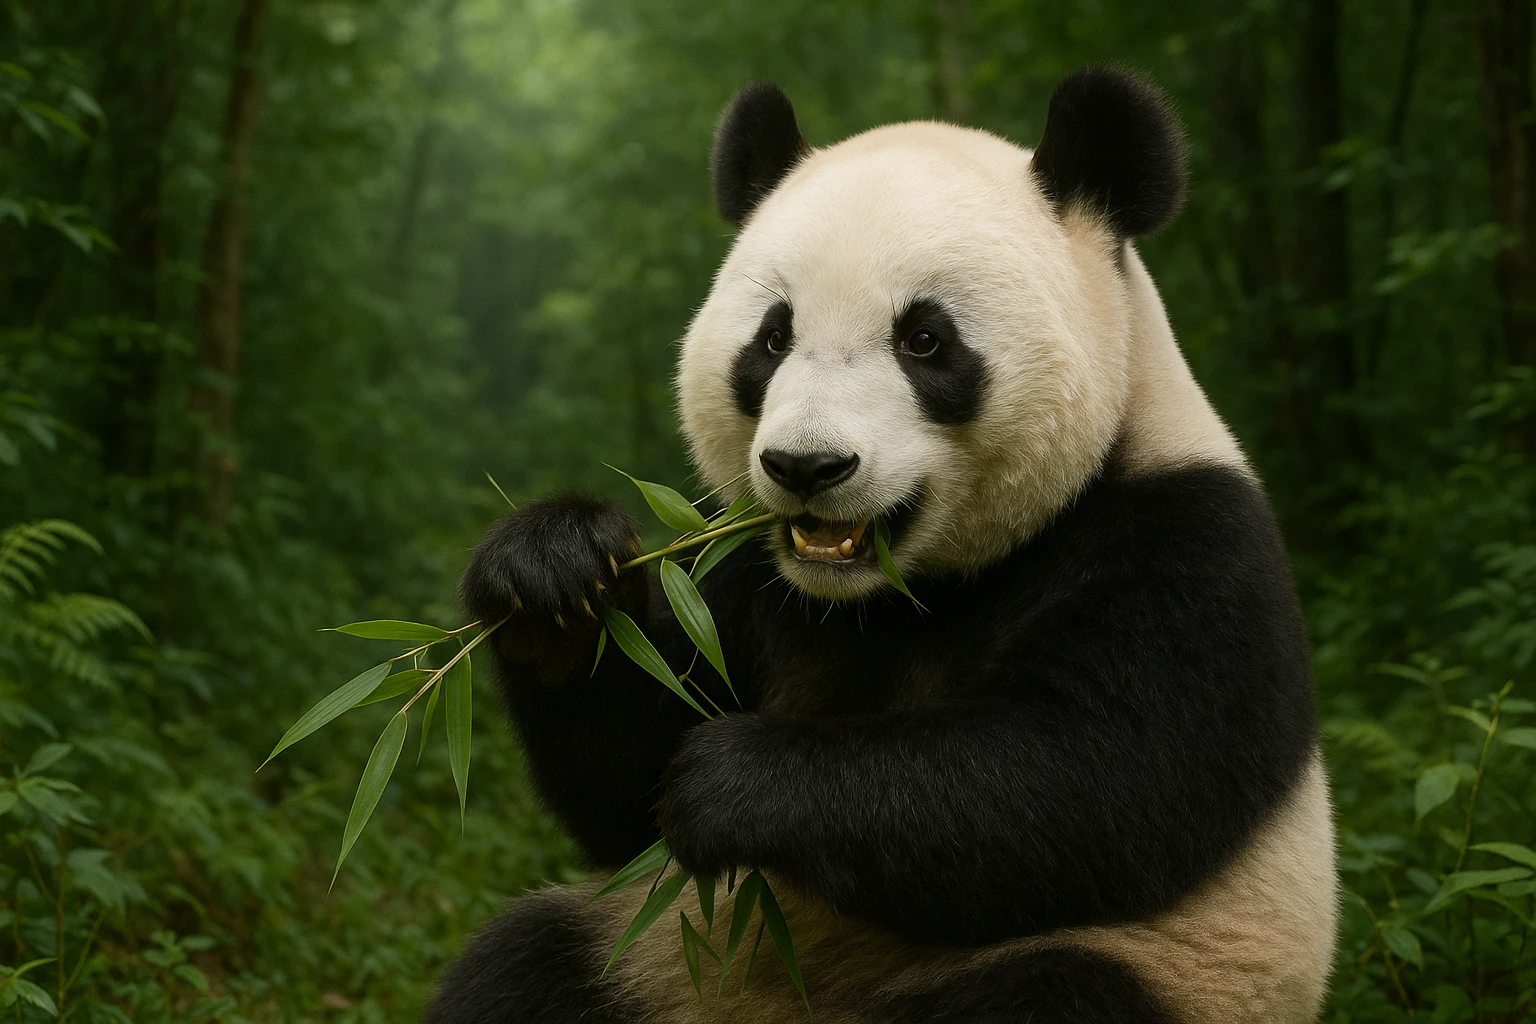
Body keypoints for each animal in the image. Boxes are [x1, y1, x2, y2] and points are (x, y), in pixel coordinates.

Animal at [427, 65, 1338, 1024]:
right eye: (773, 337)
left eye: (924, 339)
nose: (807, 465)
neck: (893, 593)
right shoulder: (749, 572)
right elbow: (624, 780)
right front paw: (552, 576)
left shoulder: (1186, 544)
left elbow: (1087, 779)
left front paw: (731, 780)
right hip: (655, 965)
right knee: (527, 965)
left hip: (1166, 971)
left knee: (1051, 992)